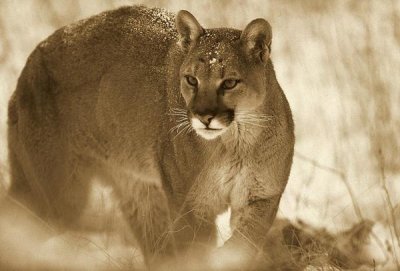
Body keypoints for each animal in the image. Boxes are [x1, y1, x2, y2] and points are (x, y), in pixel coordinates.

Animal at [6, 5, 294, 268]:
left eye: (230, 83)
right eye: (191, 80)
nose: (204, 116)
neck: (235, 141)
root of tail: (29, 63)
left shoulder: (262, 196)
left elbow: (246, 241)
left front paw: (227, 257)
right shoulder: (189, 207)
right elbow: (196, 251)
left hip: (140, 194)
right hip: (57, 196)